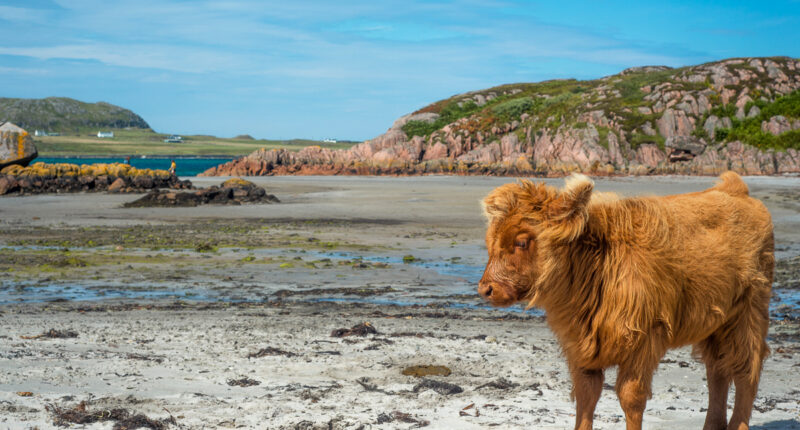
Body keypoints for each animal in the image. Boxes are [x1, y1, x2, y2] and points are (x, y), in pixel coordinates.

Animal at [478, 172, 772, 430]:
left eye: (521, 242)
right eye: (490, 241)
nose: (486, 289)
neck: (597, 264)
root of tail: (734, 189)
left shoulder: (643, 341)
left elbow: (631, 398)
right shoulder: (580, 347)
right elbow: (586, 395)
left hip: (748, 313)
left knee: (746, 371)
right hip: (716, 325)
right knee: (717, 371)